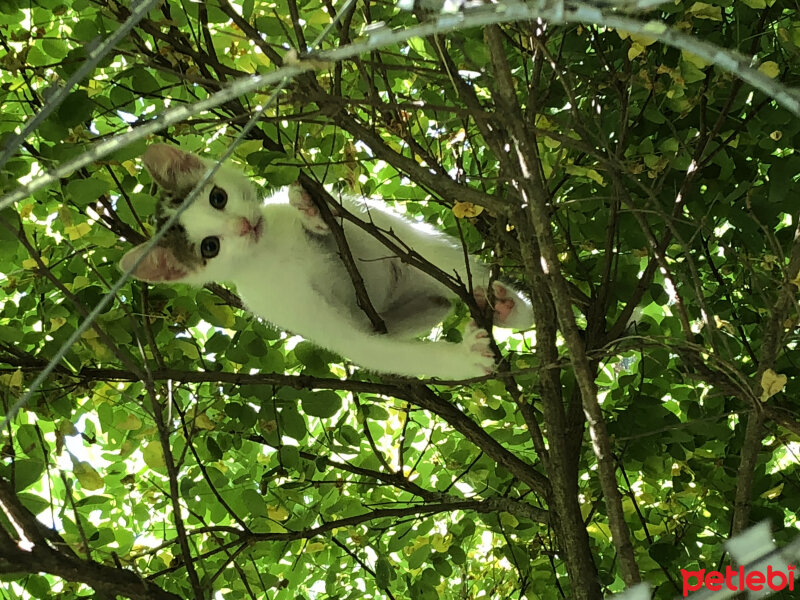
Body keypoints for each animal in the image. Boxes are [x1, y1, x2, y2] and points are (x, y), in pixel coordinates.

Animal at [122, 144, 536, 380]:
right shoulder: (294, 310)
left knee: (421, 250)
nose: (243, 226)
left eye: (218, 198)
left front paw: (311, 211)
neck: (271, 249)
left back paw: (506, 305)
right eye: (209, 247)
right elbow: (365, 346)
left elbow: (337, 225)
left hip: (408, 245)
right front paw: (467, 358)